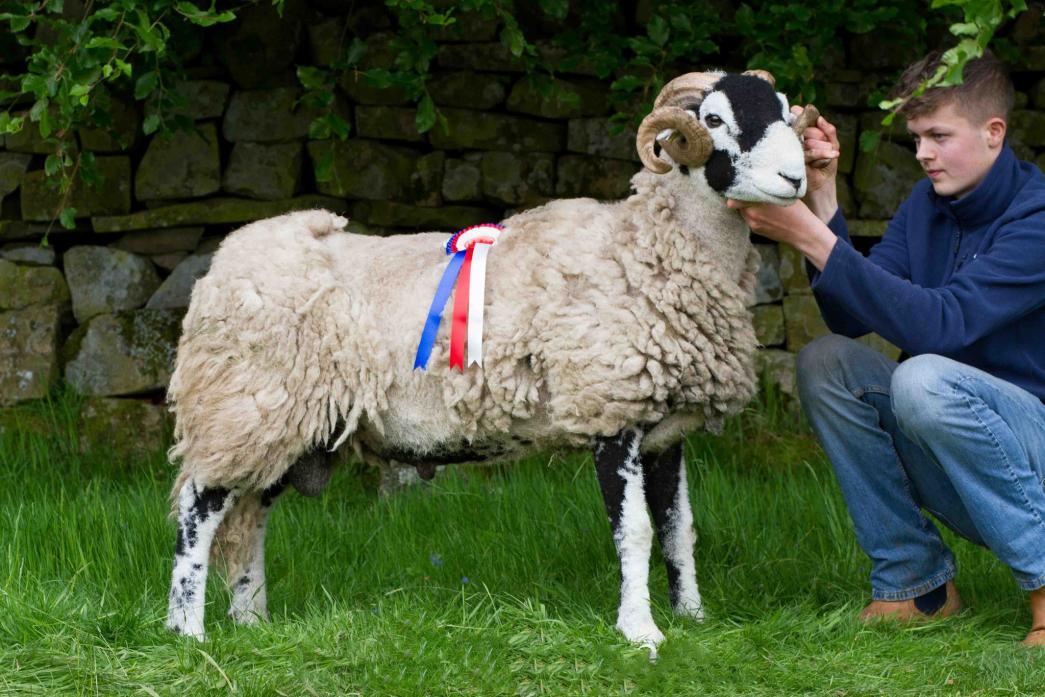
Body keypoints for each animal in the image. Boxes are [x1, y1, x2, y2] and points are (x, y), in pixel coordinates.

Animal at [165, 71, 815, 656]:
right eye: (715, 120)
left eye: (785, 112)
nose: (796, 180)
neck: (652, 248)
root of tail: (224, 259)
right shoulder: (610, 411)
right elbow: (635, 531)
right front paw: (641, 632)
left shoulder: (665, 432)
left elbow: (680, 530)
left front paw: (694, 618)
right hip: (239, 407)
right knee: (198, 513)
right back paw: (187, 631)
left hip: (284, 424)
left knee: (249, 519)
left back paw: (252, 622)